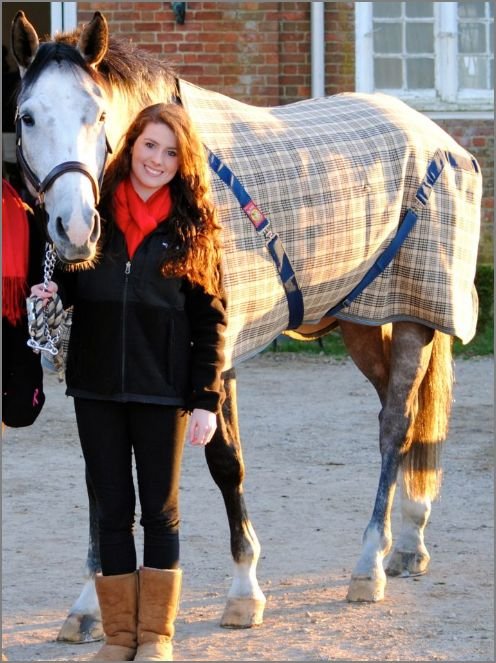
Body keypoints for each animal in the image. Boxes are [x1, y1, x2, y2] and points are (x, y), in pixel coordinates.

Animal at [11, 11, 482, 644]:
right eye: (27, 116)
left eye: (99, 114)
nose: (77, 229)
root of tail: (440, 140)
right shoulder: (94, 374)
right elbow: (100, 482)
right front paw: (87, 604)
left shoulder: (216, 356)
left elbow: (226, 464)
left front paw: (244, 592)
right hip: (362, 321)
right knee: (399, 415)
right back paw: (409, 541)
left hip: (414, 316)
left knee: (396, 428)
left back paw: (370, 564)